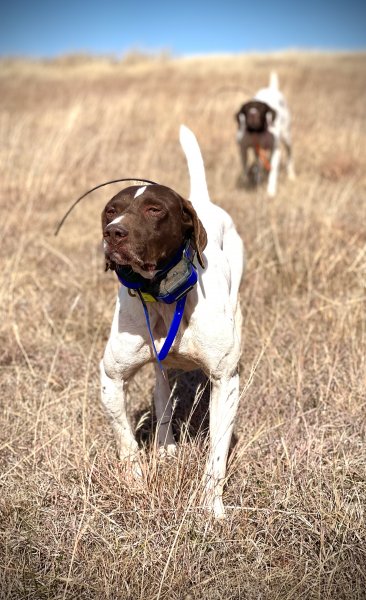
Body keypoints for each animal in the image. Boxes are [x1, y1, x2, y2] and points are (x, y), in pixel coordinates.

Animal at [100, 125, 244, 516]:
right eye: (111, 211)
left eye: (154, 209)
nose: (113, 232)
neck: (163, 296)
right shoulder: (110, 378)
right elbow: (125, 439)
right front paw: (136, 483)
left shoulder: (226, 381)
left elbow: (217, 454)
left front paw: (212, 507)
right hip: (158, 366)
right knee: (162, 394)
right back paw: (165, 449)